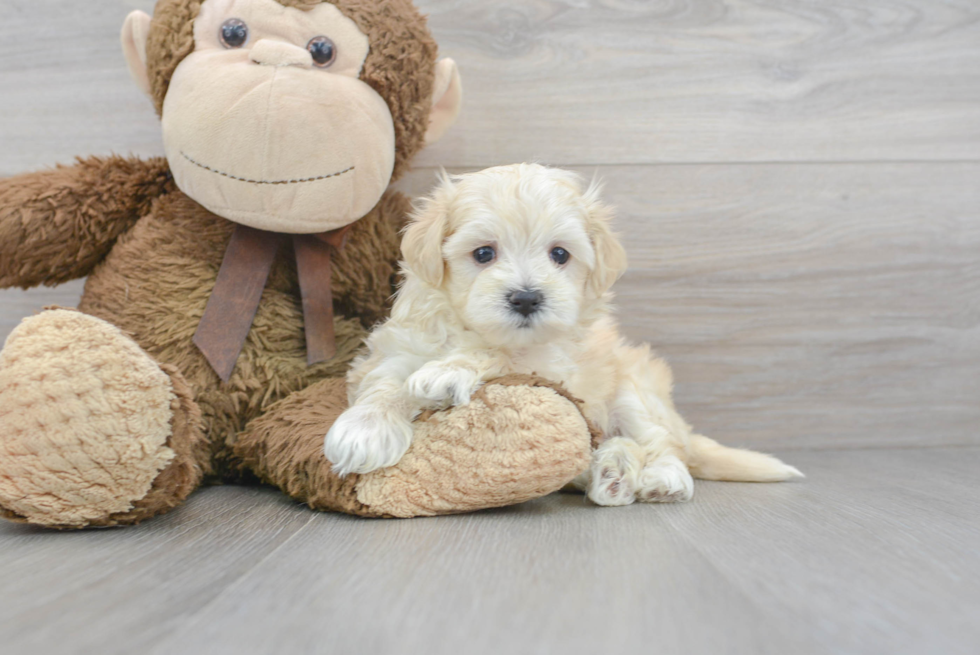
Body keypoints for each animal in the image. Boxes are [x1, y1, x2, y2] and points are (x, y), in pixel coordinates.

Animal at [326, 164, 800, 508]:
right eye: (483, 253)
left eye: (559, 254)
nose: (526, 298)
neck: (469, 328)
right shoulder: (399, 347)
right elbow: (385, 383)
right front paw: (363, 430)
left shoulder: (549, 362)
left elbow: (497, 356)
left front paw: (449, 372)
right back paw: (610, 471)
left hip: (635, 389)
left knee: (660, 443)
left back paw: (653, 477)